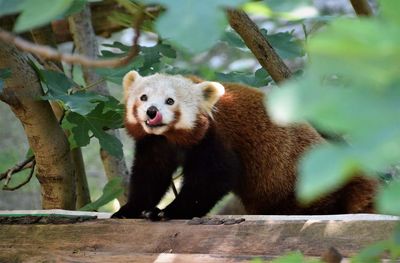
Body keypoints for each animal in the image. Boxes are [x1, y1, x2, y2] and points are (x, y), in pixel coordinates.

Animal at [111, 70, 376, 221]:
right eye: (143, 97)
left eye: (169, 101)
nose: (151, 112)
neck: (172, 137)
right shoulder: (156, 143)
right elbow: (150, 175)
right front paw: (131, 209)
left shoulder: (216, 138)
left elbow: (215, 177)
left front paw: (170, 211)